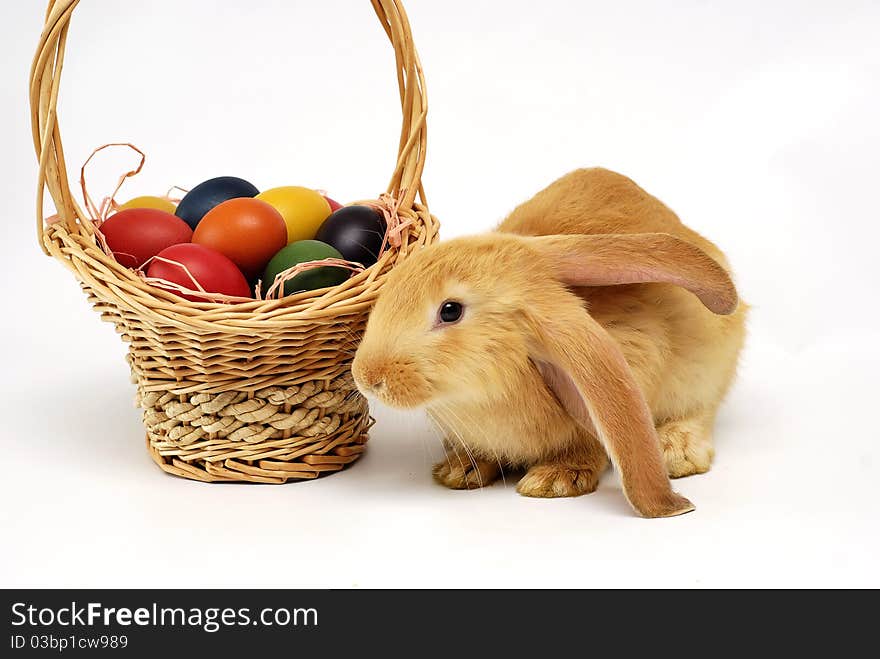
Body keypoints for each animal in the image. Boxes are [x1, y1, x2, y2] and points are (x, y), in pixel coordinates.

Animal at [354, 168, 744, 520]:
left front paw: (554, 480)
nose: (367, 377)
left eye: (450, 311)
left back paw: (676, 452)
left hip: (706, 369)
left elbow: (592, 443)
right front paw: (461, 468)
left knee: (700, 409)